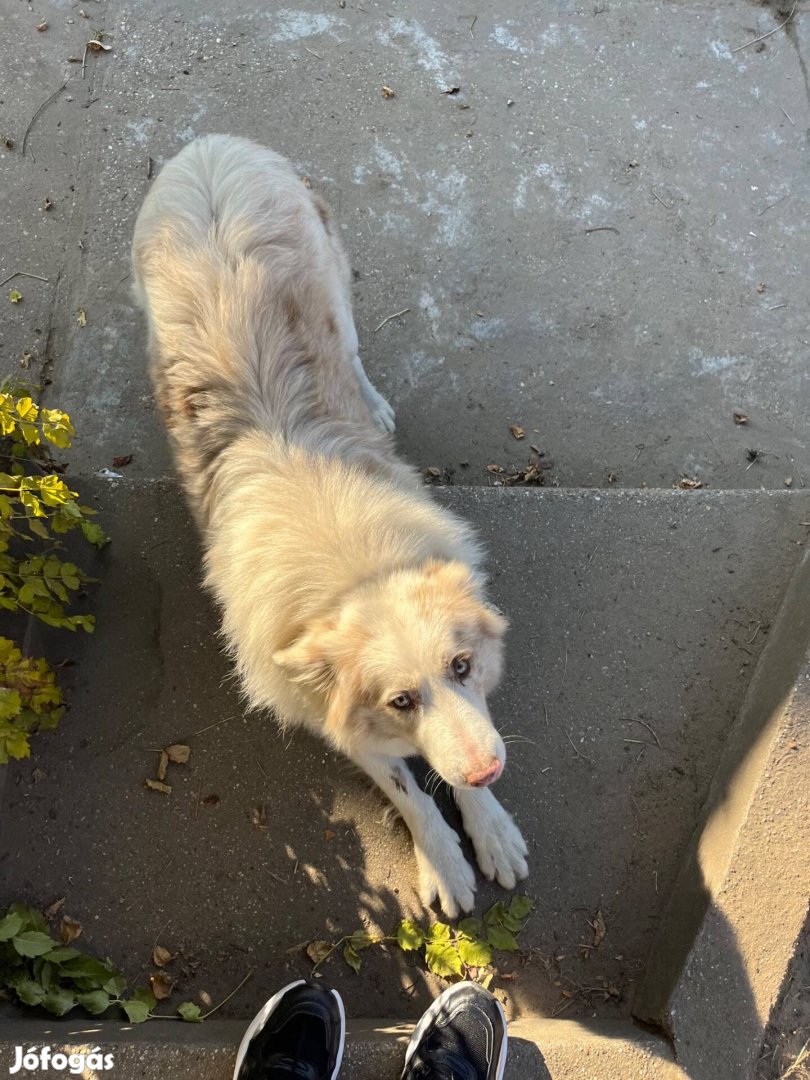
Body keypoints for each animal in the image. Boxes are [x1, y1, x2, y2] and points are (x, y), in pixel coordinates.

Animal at [132, 132, 527, 911]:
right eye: (400, 699)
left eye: (463, 666)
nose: (488, 774)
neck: (353, 569)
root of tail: (212, 147)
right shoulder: (328, 710)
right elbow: (407, 788)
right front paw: (444, 860)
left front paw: (491, 827)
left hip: (334, 287)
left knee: (350, 347)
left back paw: (372, 403)